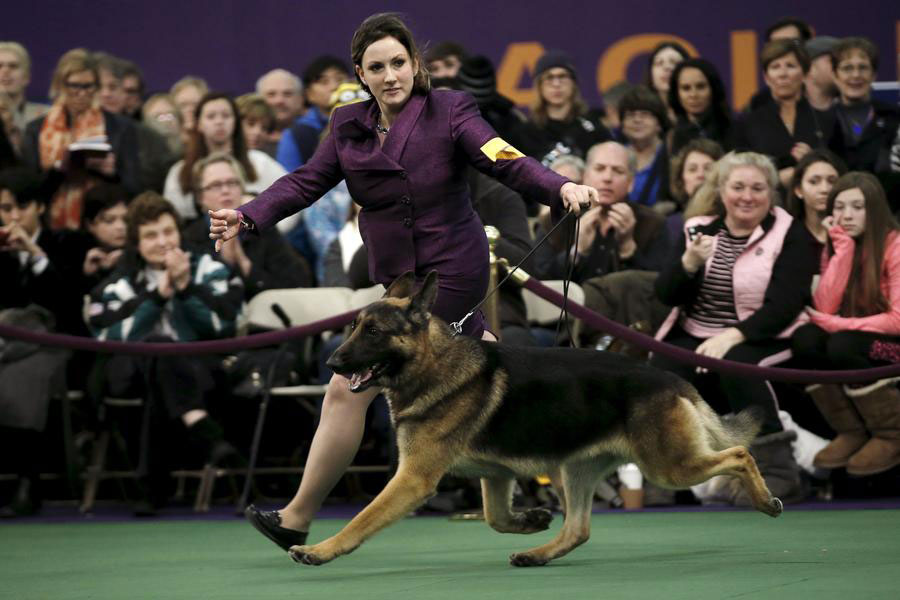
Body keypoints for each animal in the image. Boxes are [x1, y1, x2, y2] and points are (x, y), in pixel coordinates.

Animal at [288, 272, 780, 568]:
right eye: (354, 326)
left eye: (373, 332)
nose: (332, 363)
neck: (434, 366)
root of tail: (671, 378)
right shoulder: (494, 476)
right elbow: (494, 517)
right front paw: (531, 519)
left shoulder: (412, 480)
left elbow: (361, 520)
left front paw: (320, 550)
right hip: (576, 469)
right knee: (578, 529)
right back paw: (537, 552)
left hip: (668, 466)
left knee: (739, 454)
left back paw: (765, 501)